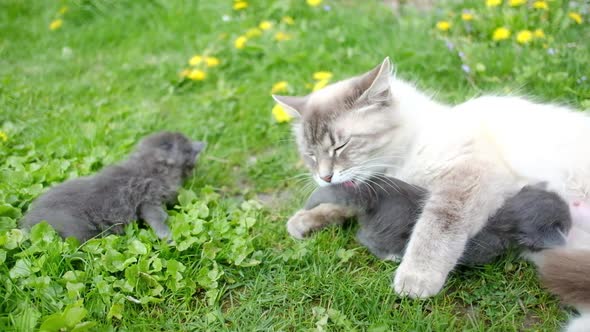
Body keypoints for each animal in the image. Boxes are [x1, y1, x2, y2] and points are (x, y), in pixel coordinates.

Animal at [21, 131, 206, 243]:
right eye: (187, 150)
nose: (202, 144)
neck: (150, 168)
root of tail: (28, 221)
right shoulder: (149, 197)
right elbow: (157, 217)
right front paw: (167, 236)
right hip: (78, 231)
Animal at [296, 178, 572, 266]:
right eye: (566, 223)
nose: (571, 225)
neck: (503, 216)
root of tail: (373, 195)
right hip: (386, 233)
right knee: (365, 238)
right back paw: (391, 257)